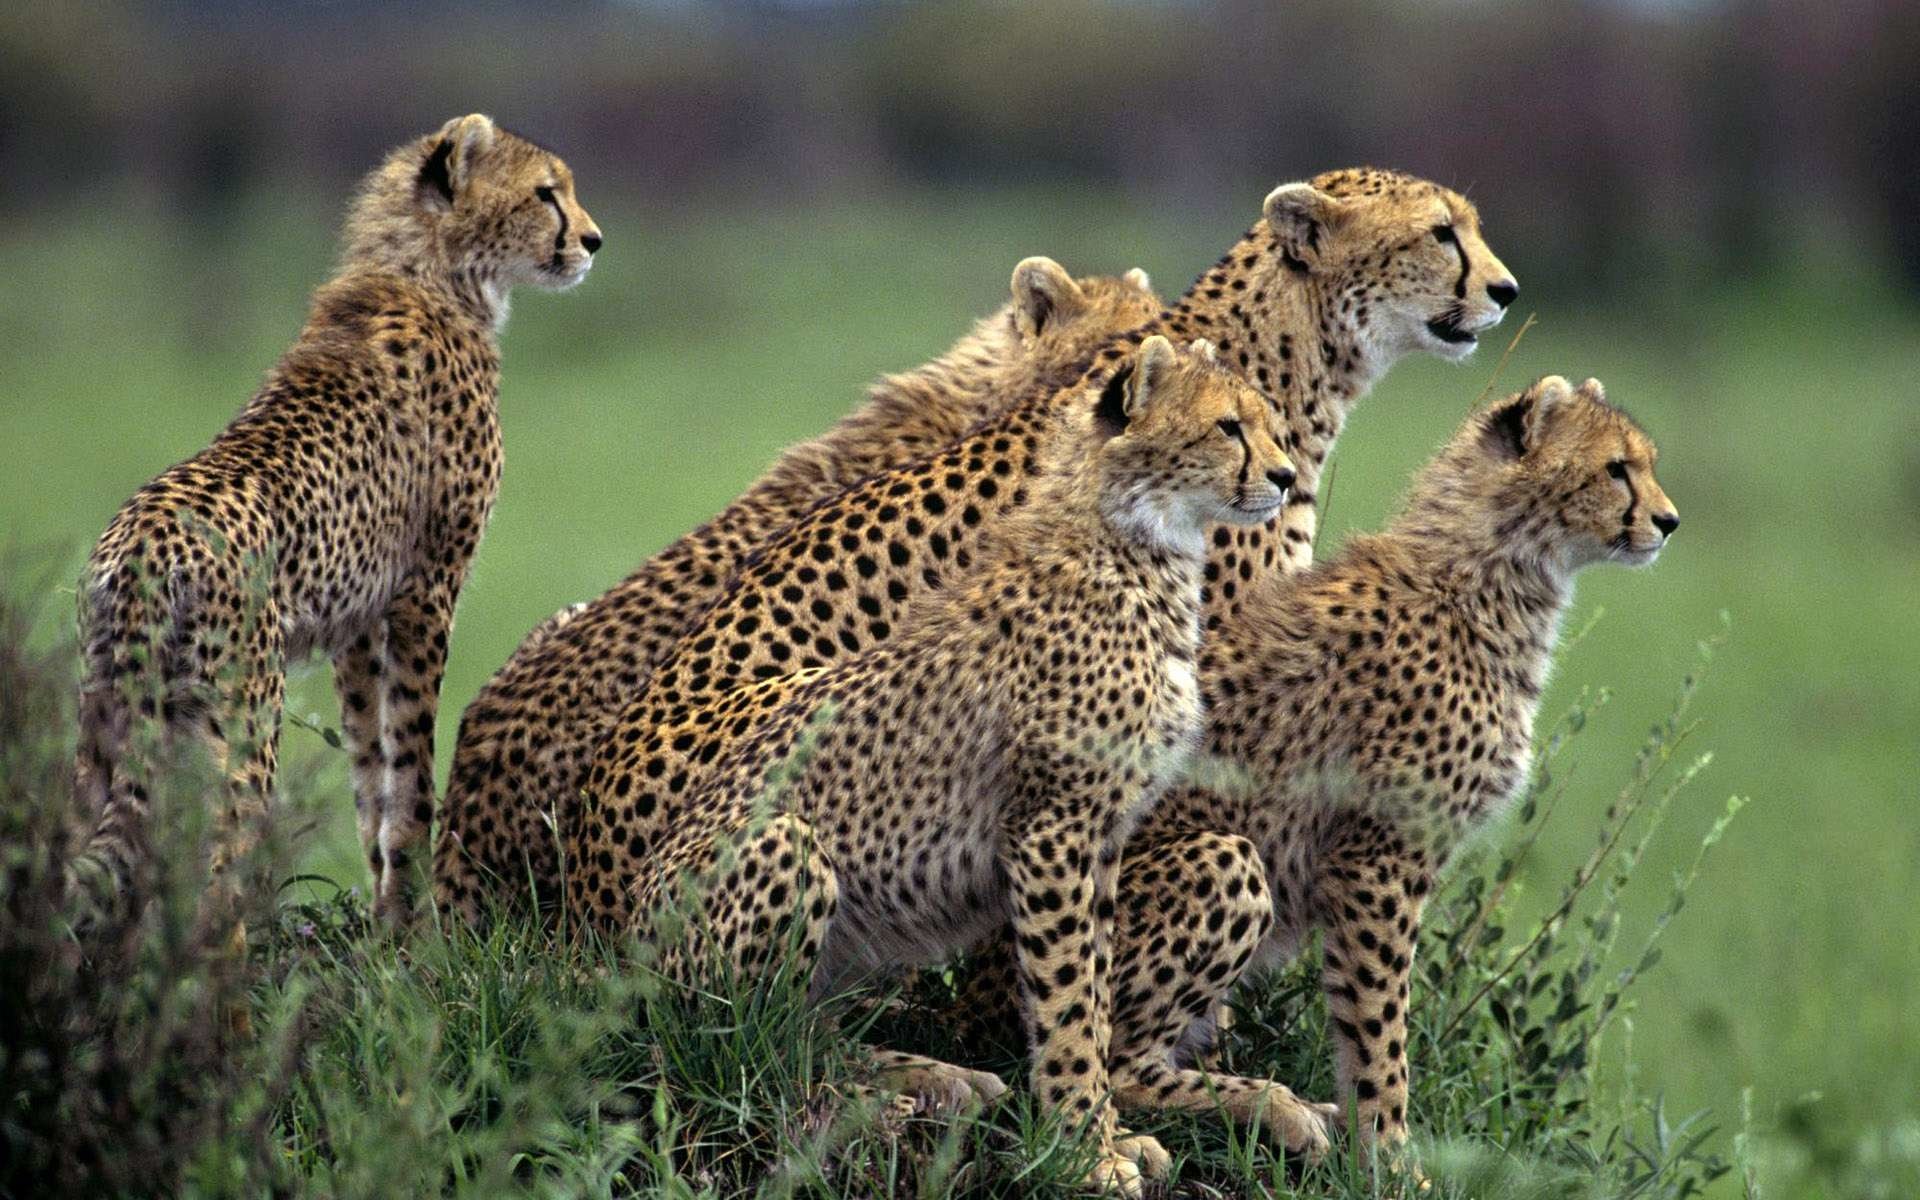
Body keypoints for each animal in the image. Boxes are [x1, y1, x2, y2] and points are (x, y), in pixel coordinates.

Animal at [71, 112, 599, 921]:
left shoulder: (358, 622)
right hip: (240, 718)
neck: (430, 274)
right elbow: (410, 767)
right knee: (220, 867)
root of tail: (144, 546)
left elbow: (369, 773)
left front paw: (385, 912)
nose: (593, 240)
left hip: (107, 716)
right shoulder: (426, 593)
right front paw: (413, 922)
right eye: (546, 193)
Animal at [576, 334, 1297, 1190]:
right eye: (1228, 426)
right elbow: (1065, 1003)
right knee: (745, 1041)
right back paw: (894, 1093)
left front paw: (1107, 1135)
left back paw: (938, 1076)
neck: (1137, 543)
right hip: (785, 848)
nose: (1286, 476)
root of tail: (618, 947)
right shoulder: (1051, 830)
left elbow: (1090, 994)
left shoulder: (1101, 839)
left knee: (806, 1027)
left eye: (1268, 421)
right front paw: (1084, 1152)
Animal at [952, 376, 1674, 1159]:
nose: (1668, 521)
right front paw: (1391, 1158)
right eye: (1616, 469)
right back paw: (1274, 1106)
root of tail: (966, 993)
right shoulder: (1376, 863)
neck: (1491, 574)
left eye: (1643, 464)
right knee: (1111, 1060)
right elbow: (1380, 1033)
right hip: (1219, 863)